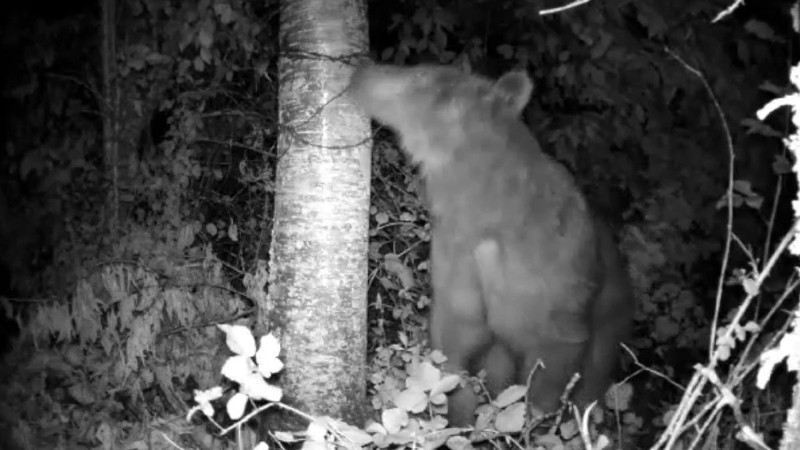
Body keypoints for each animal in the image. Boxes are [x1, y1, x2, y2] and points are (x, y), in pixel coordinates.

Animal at [346, 62, 636, 426]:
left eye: (420, 76)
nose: (361, 69)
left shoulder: (551, 284)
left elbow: (549, 371)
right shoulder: (459, 260)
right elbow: (455, 349)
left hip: (611, 310)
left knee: (595, 370)